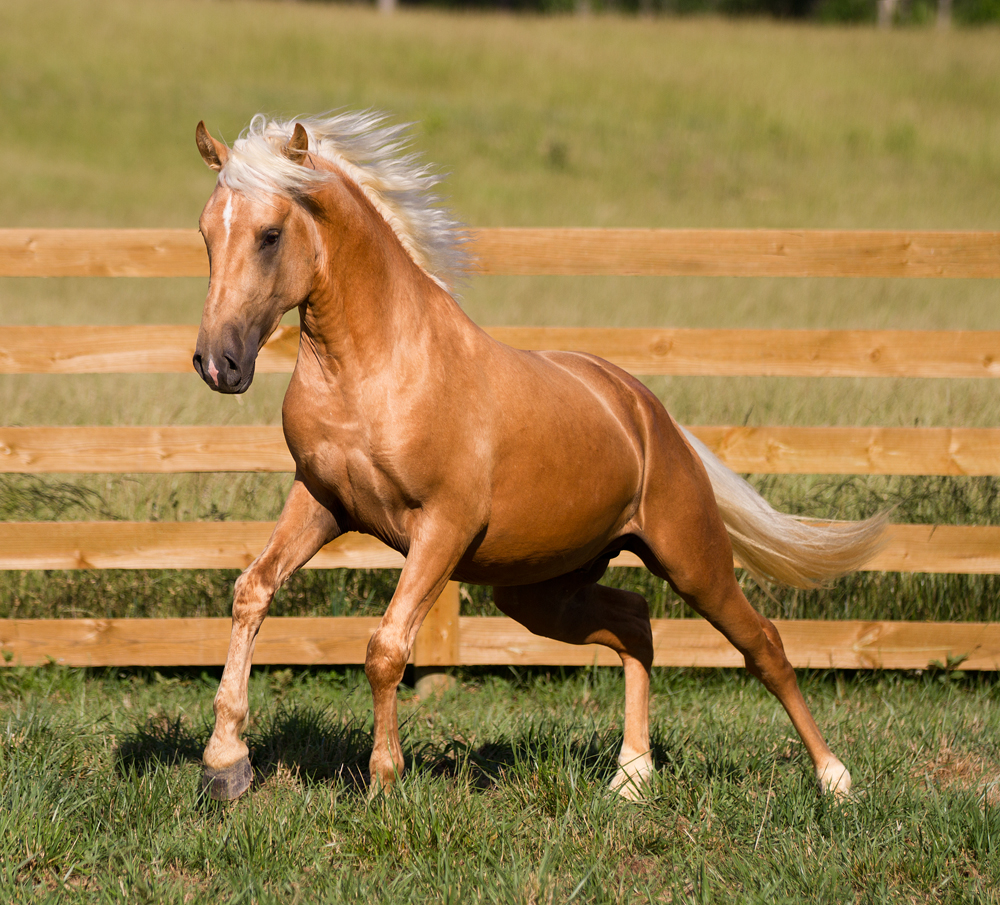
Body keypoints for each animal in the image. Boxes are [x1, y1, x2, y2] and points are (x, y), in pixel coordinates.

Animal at [189, 111, 884, 800]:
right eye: (205, 232)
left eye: (271, 235)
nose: (219, 363)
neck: (375, 368)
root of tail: (647, 412)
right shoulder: (322, 502)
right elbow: (253, 591)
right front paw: (226, 764)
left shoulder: (442, 527)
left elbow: (386, 648)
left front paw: (385, 782)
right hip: (540, 590)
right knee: (635, 623)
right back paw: (631, 776)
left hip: (692, 561)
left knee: (762, 644)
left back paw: (834, 778)